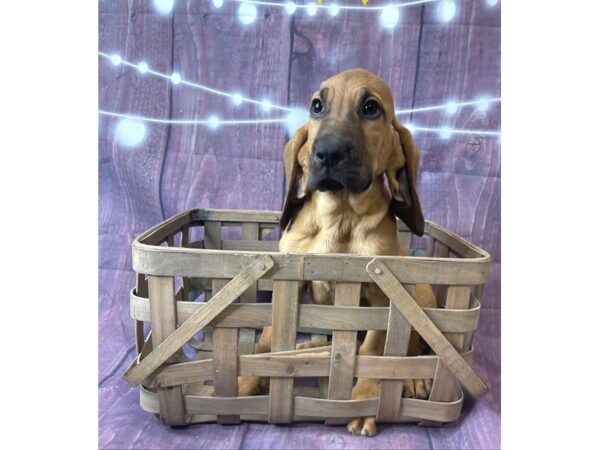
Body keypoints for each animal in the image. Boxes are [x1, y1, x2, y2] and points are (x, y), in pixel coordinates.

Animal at [238, 69, 436, 436]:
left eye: (371, 108)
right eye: (317, 106)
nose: (327, 153)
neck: (340, 215)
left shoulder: (383, 297)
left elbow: (375, 350)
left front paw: (363, 401)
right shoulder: (290, 282)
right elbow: (270, 337)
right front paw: (244, 382)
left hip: (421, 293)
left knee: (413, 345)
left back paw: (413, 377)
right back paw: (312, 348)